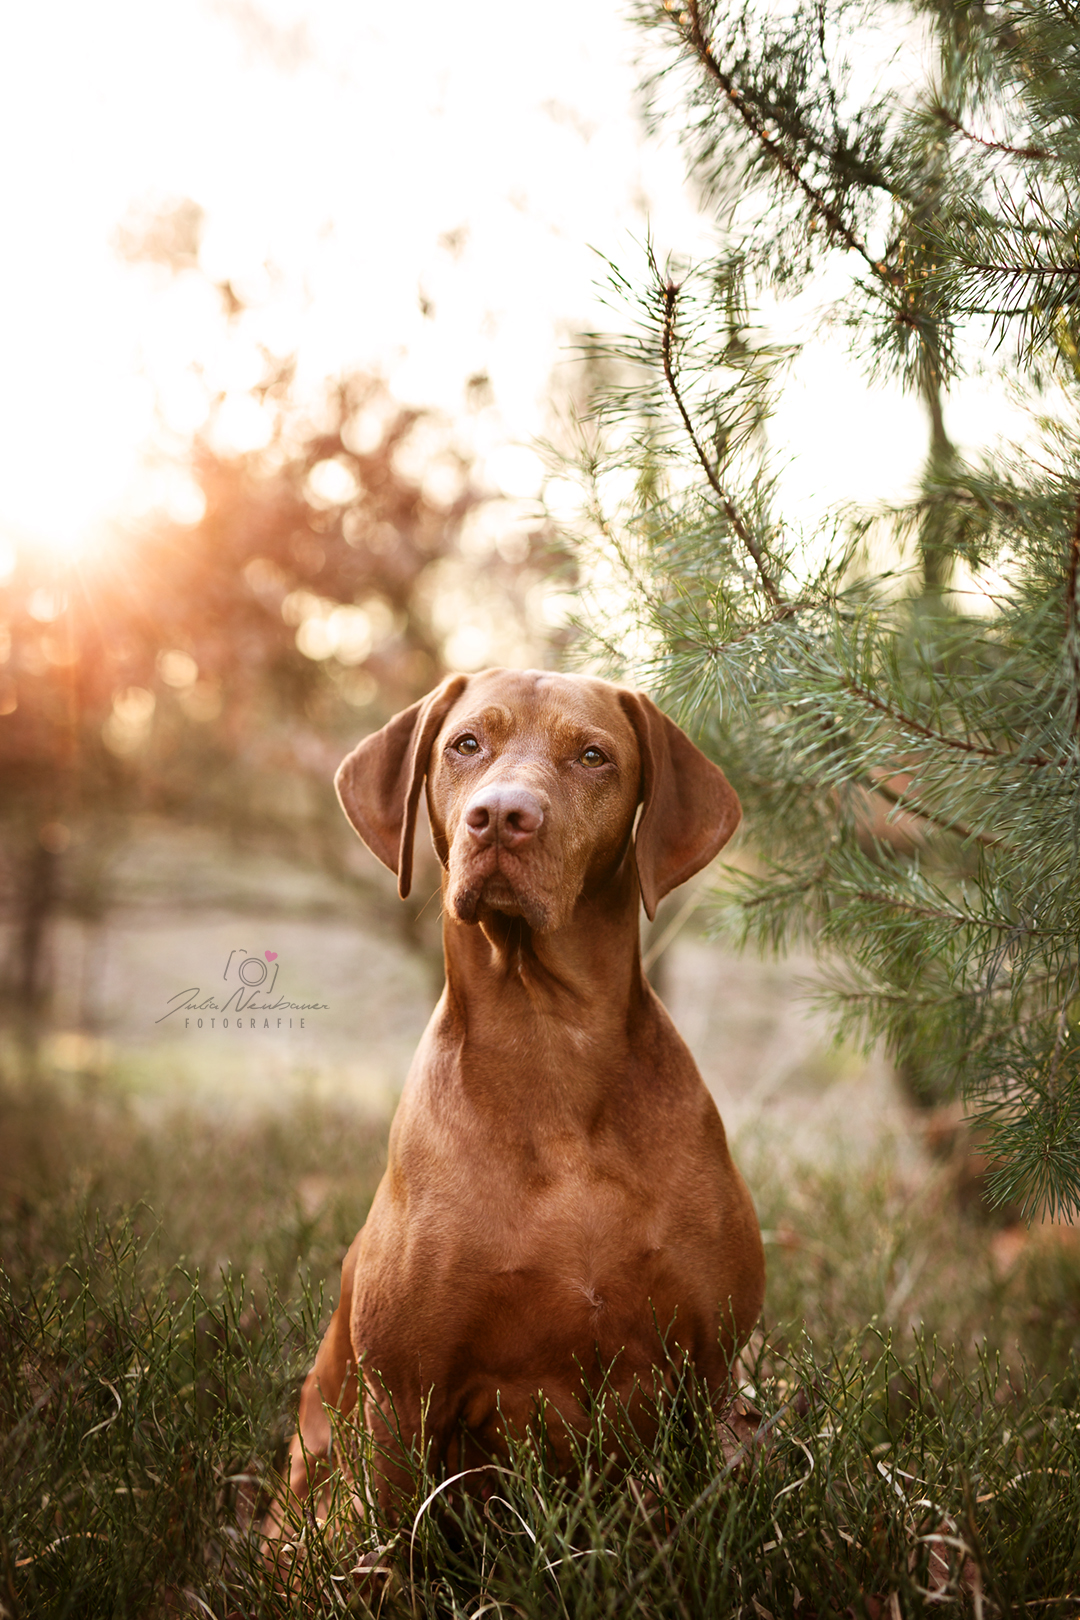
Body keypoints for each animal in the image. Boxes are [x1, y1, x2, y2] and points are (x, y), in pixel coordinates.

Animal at [270, 667, 767, 1529]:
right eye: (467, 743)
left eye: (593, 756)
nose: (501, 816)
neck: (550, 1048)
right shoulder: (403, 1400)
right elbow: (396, 1548)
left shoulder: (707, 1378)